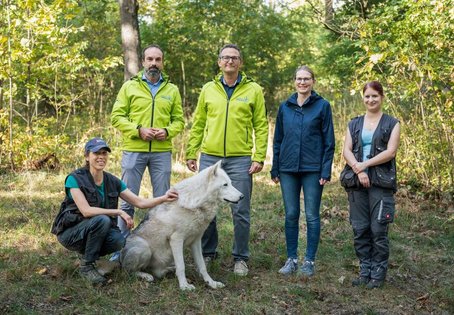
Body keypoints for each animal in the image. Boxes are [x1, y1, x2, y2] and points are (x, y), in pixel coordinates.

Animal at [119, 162, 243, 292]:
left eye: (230, 183)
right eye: (225, 185)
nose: (242, 196)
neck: (197, 204)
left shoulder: (196, 241)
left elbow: (202, 266)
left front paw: (211, 283)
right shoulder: (176, 240)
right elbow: (182, 266)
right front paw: (184, 286)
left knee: (158, 272)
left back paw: (168, 269)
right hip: (144, 248)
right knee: (128, 271)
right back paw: (146, 275)